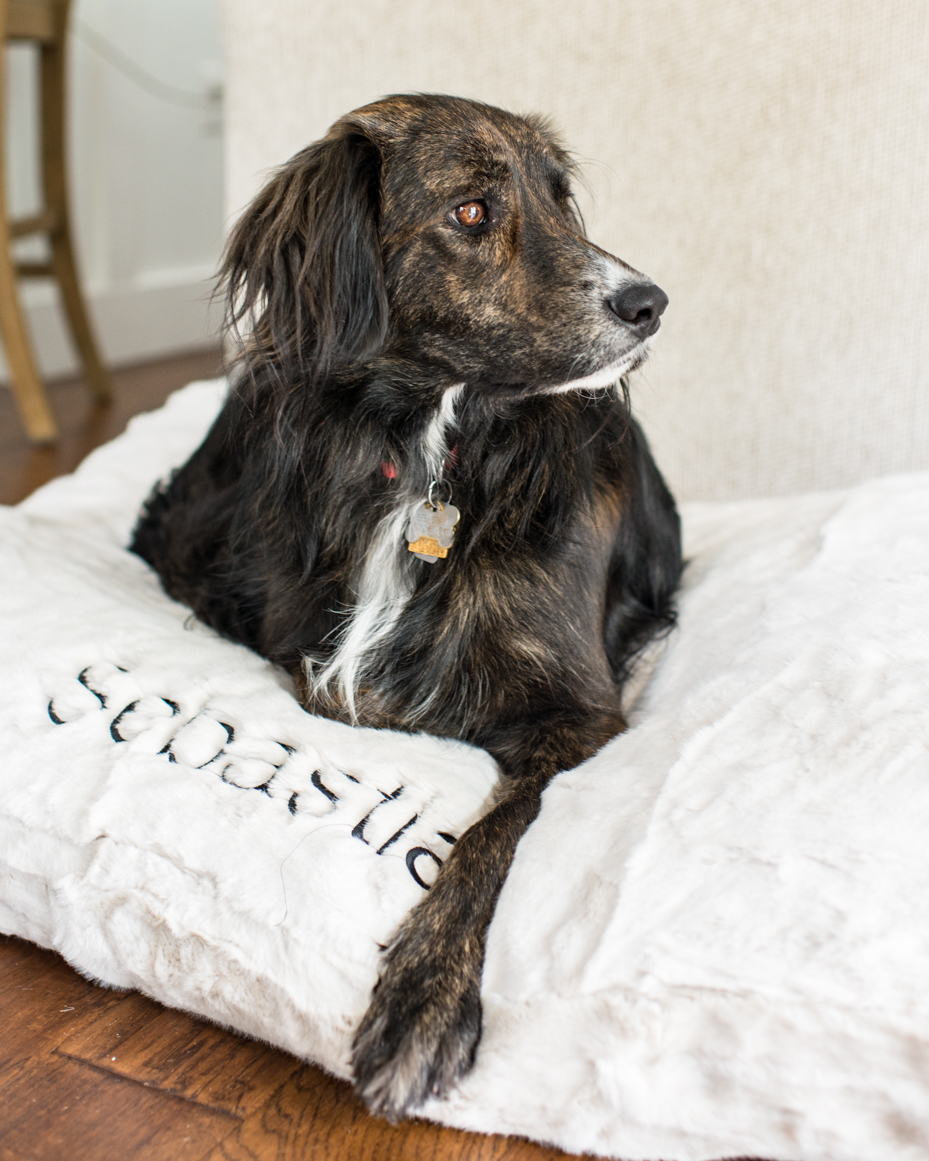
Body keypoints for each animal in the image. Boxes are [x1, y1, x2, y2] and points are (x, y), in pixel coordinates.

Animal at [132, 92, 682, 1123]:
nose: (649, 305)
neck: (433, 448)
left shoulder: (578, 714)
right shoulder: (312, 663)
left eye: (559, 199)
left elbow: (490, 839)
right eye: (471, 211)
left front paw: (422, 1004)